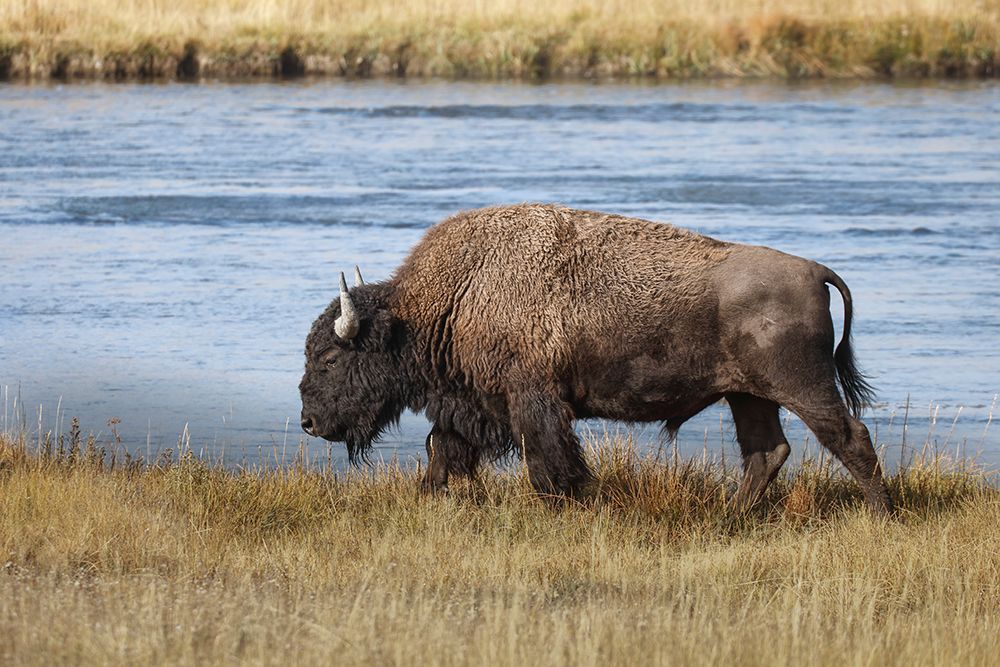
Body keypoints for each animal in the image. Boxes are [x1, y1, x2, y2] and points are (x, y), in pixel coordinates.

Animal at [299, 204, 894, 514]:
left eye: (329, 358)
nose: (308, 422)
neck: (449, 298)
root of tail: (815, 269)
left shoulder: (532, 401)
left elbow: (547, 462)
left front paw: (567, 500)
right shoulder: (468, 405)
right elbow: (442, 453)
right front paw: (429, 496)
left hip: (803, 387)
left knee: (850, 439)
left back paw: (883, 514)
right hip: (747, 395)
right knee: (767, 452)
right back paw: (729, 516)